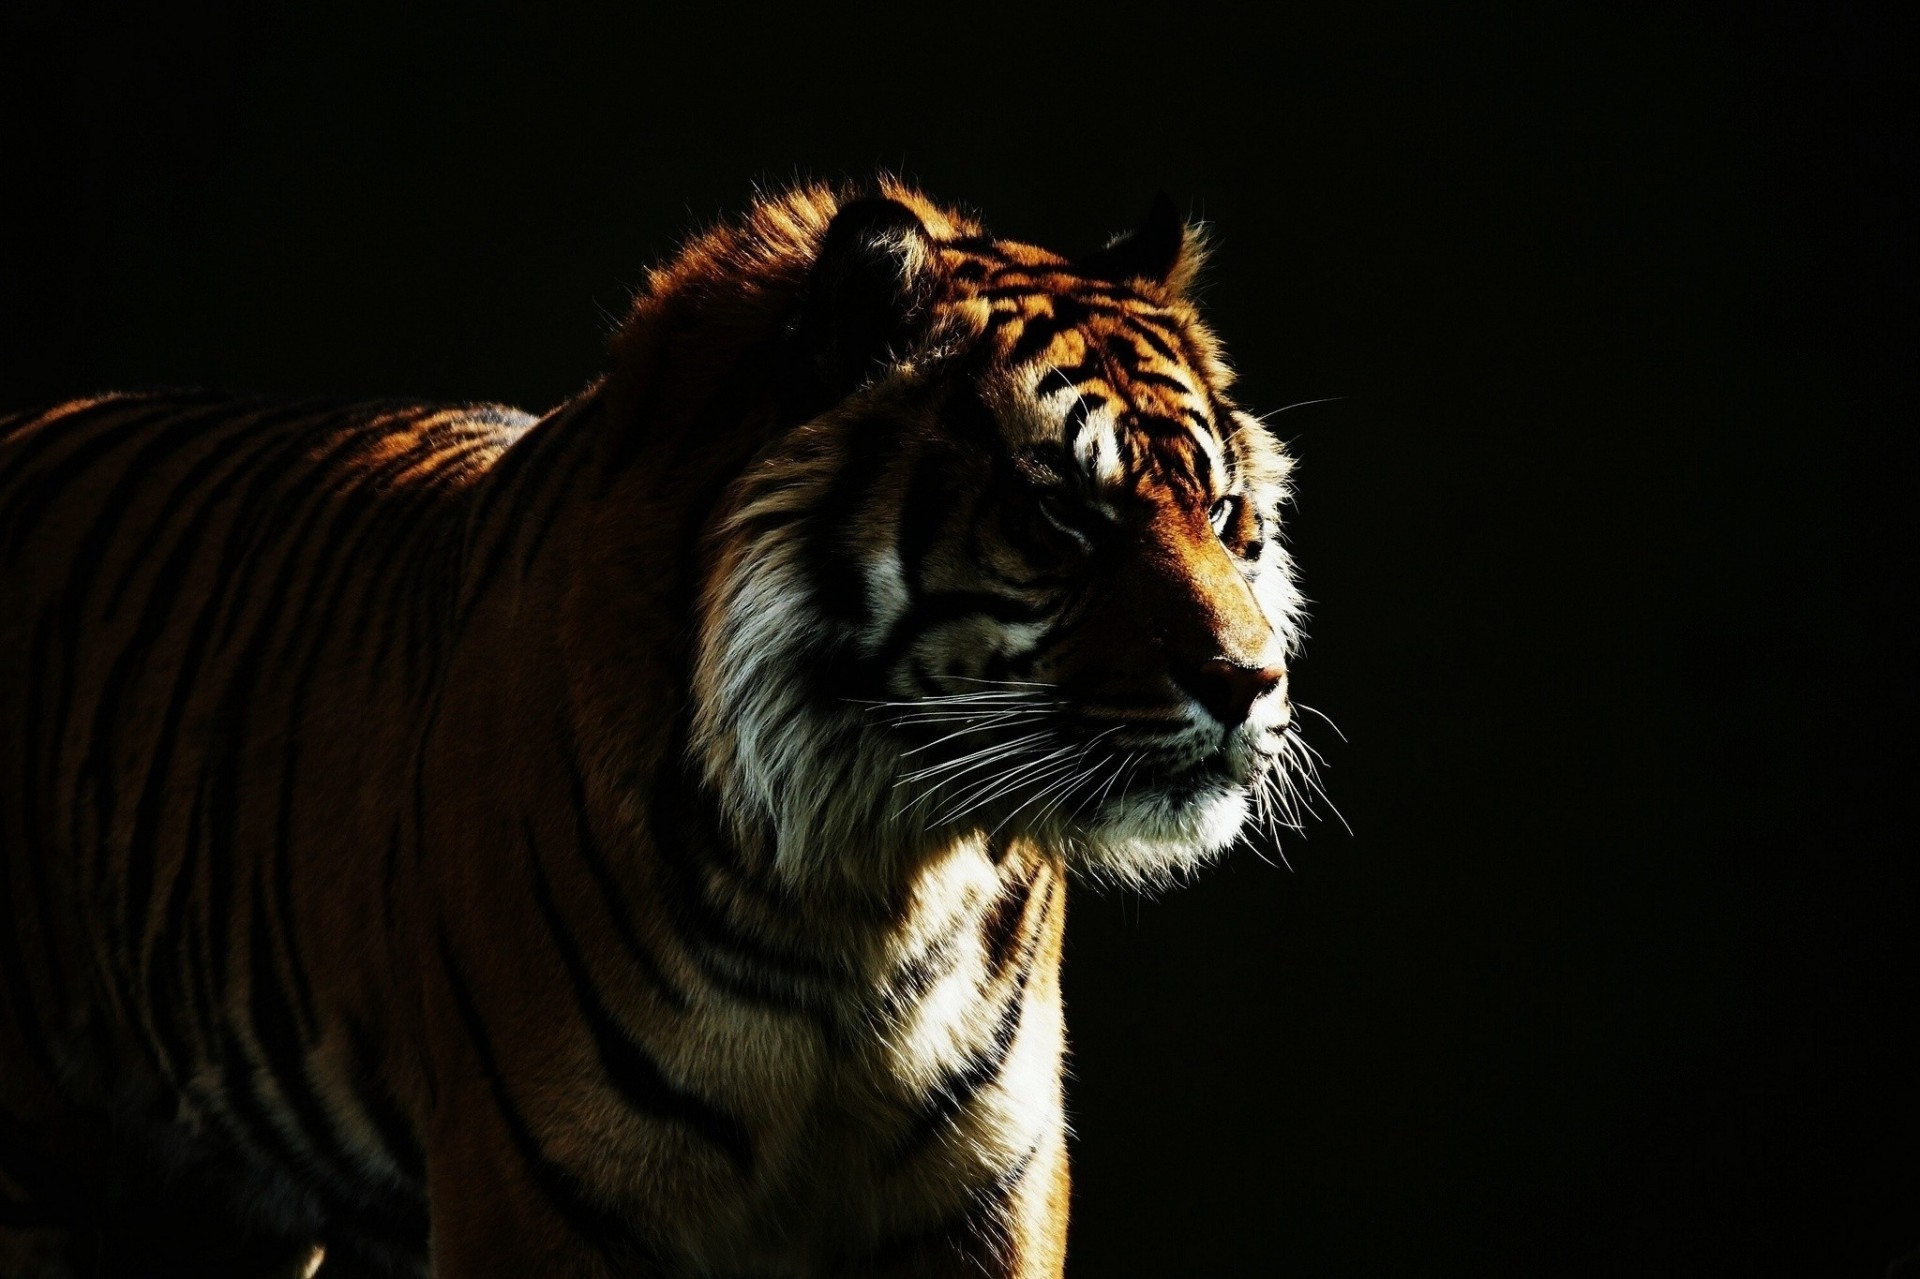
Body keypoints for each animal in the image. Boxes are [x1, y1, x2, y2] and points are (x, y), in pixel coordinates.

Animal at [0, 180, 1314, 1278]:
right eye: (1061, 515)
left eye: (1223, 510)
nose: (1252, 679)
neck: (865, 882)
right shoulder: (543, 1192)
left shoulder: (989, 1188)